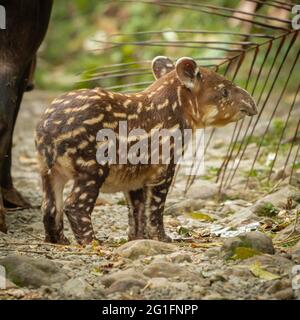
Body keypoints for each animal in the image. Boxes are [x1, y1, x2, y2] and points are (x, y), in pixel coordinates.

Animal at [34, 56, 255, 244]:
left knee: (49, 206)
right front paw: (163, 238)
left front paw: (138, 238)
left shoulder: (135, 174)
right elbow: (155, 207)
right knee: (74, 205)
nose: (252, 104)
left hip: (47, 168)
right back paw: (93, 242)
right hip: (91, 165)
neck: (175, 107)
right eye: (224, 91)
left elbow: (137, 208)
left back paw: (59, 241)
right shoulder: (163, 166)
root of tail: (49, 128)